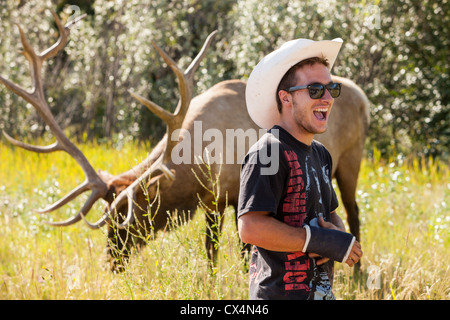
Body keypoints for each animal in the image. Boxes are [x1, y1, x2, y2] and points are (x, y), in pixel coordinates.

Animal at [0, 13, 370, 272]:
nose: (112, 263)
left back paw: (358, 274)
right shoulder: (221, 201)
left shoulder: (222, 198)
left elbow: (218, 252)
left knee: (353, 213)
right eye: (107, 215)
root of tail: (363, 97)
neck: (195, 164)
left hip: (352, 160)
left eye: (130, 218)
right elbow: (226, 252)